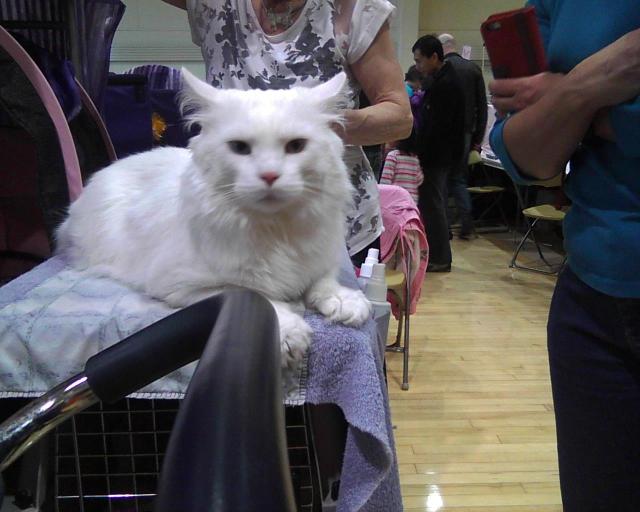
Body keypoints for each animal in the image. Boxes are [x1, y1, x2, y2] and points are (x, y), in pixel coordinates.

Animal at [58, 71, 376, 368]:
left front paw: (344, 301)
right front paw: (289, 333)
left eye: (296, 146)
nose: (269, 175)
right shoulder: (185, 285)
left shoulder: (319, 260)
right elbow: (255, 295)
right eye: (239, 148)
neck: (276, 230)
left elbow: (324, 282)